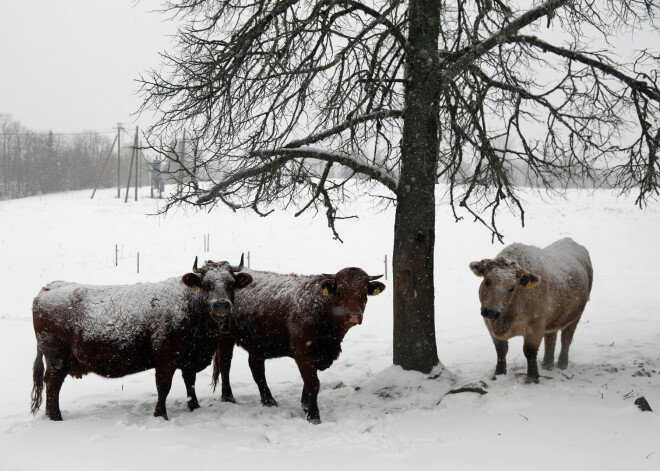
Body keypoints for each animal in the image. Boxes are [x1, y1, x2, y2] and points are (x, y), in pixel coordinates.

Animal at [28, 256, 251, 422]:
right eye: (205, 284)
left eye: (231, 283)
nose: (221, 305)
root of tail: (47, 289)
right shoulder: (165, 360)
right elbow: (163, 387)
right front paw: (161, 414)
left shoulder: (189, 359)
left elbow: (190, 383)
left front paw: (194, 406)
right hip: (58, 360)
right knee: (53, 385)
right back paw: (56, 417)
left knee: (49, 385)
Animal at [211, 268, 386, 426]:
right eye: (340, 290)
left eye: (364, 291)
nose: (354, 316)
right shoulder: (302, 352)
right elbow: (313, 383)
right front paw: (314, 416)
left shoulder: (318, 355)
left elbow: (308, 382)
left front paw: (305, 406)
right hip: (224, 337)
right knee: (225, 364)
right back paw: (228, 397)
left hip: (258, 343)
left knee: (256, 368)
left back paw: (268, 400)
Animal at [470, 238, 592, 386]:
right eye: (487, 281)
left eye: (512, 288)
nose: (491, 311)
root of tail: (569, 240)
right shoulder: (489, 323)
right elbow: (501, 350)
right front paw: (498, 374)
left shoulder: (536, 323)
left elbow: (530, 351)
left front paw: (532, 377)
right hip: (553, 318)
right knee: (551, 337)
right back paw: (547, 364)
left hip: (575, 317)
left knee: (566, 339)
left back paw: (562, 364)